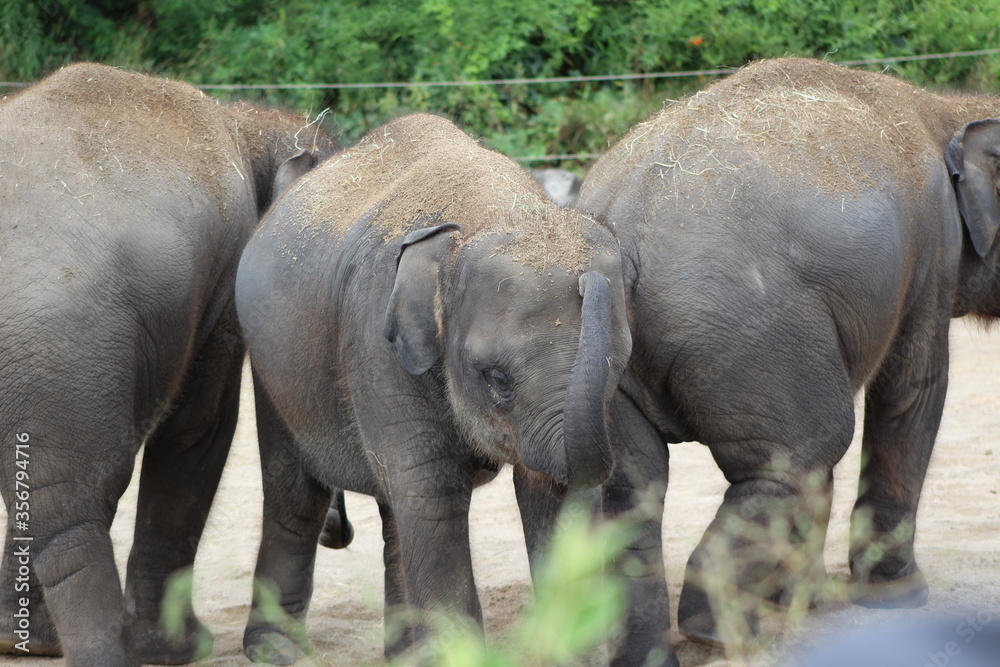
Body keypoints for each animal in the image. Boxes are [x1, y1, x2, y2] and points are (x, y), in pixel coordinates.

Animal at [0, 62, 330, 666]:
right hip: (65, 342)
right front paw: (181, 649)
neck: (246, 122)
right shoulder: (225, 280)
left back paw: (27, 643)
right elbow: (199, 427)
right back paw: (105, 653)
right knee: (84, 491)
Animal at [234, 112, 632, 663]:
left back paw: (404, 653)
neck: (492, 211)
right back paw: (275, 650)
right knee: (296, 495)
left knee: (391, 511)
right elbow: (432, 493)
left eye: (620, 365)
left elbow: (552, 499)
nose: (588, 283)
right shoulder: (375, 341)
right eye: (497, 378)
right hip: (274, 371)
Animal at [575, 57, 1000, 656]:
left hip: (608, 358)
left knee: (633, 490)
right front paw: (898, 597)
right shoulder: (933, 248)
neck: (945, 106)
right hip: (751, 330)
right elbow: (913, 389)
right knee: (801, 450)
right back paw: (721, 633)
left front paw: (806, 599)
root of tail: (624, 232)